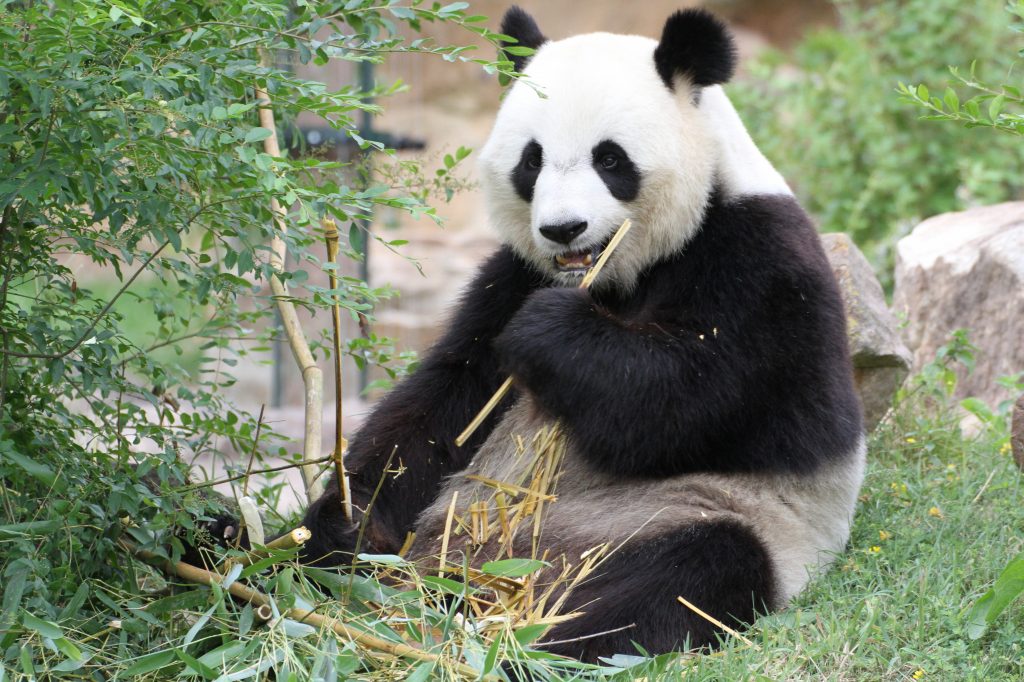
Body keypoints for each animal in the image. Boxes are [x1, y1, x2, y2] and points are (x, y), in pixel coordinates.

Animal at [296, 5, 864, 659]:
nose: (564, 229)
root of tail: (483, 571)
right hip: (460, 521)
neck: (614, 276)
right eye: (532, 160)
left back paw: (531, 642)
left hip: (690, 518)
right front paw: (344, 519)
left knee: (690, 569)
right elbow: (445, 402)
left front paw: (550, 330)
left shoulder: (762, 265)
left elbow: (688, 397)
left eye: (610, 159)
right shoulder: (511, 276)